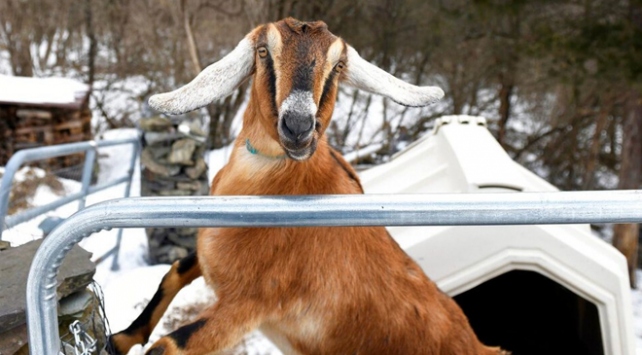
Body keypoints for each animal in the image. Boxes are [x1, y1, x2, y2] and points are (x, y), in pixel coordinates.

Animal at [106, 18, 504, 355]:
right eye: (263, 51)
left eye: (338, 66)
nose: (298, 126)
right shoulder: (209, 260)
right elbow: (173, 272)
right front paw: (118, 339)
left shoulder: (248, 304)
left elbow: (168, 346)